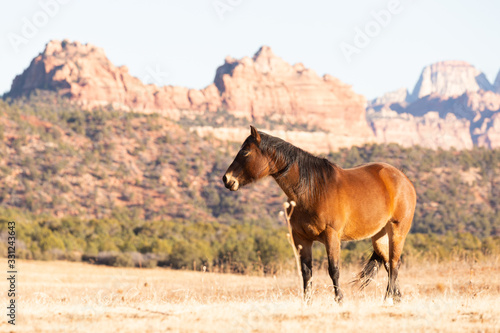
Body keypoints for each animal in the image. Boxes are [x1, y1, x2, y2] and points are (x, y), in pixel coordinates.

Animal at [224, 126, 418, 302]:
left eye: (245, 152)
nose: (226, 179)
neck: (313, 190)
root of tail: (404, 179)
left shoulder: (331, 235)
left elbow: (334, 270)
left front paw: (339, 300)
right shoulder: (301, 238)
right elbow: (306, 272)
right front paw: (307, 302)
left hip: (397, 232)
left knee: (394, 264)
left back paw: (388, 299)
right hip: (379, 237)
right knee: (389, 265)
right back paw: (396, 299)